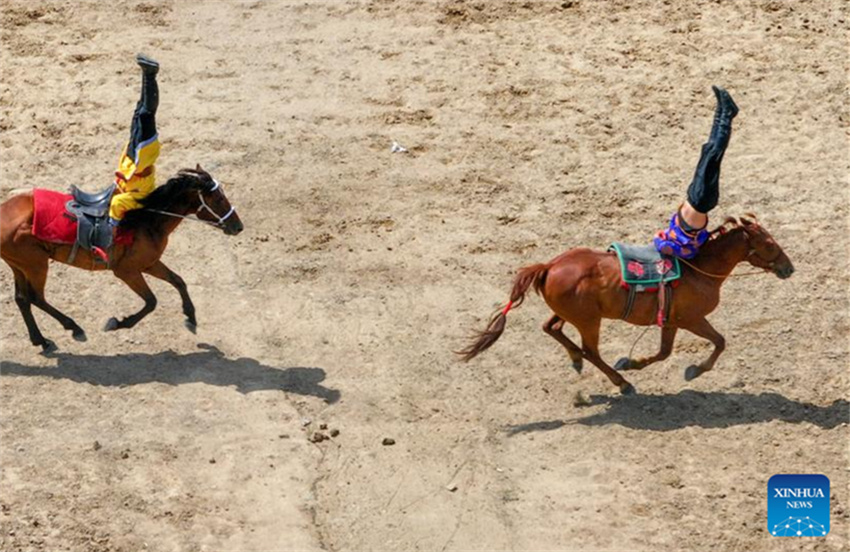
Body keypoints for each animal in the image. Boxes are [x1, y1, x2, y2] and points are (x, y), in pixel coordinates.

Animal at [1, 165, 243, 354]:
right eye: (218, 198)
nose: (238, 226)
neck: (146, 220)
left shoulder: (149, 263)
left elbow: (178, 281)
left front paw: (191, 317)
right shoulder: (127, 271)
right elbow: (151, 301)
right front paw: (119, 323)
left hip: (19, 265)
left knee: (22, 299)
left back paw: (41, 340)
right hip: (36, 265)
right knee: (36, 297)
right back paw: (74, 327)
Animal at [458, 215, 796, 392]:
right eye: (769, 244)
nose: (788, 268)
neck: (699, 269)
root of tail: (550, 265)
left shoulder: (670, 321)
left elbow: (664, 352)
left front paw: (633, 362)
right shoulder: (691, 319)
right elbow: (719, 341)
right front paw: (695, 370)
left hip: (570, 315)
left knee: (551, 327)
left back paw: (577, 359)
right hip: (589, 321)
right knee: (590, 350)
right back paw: (619, 381)